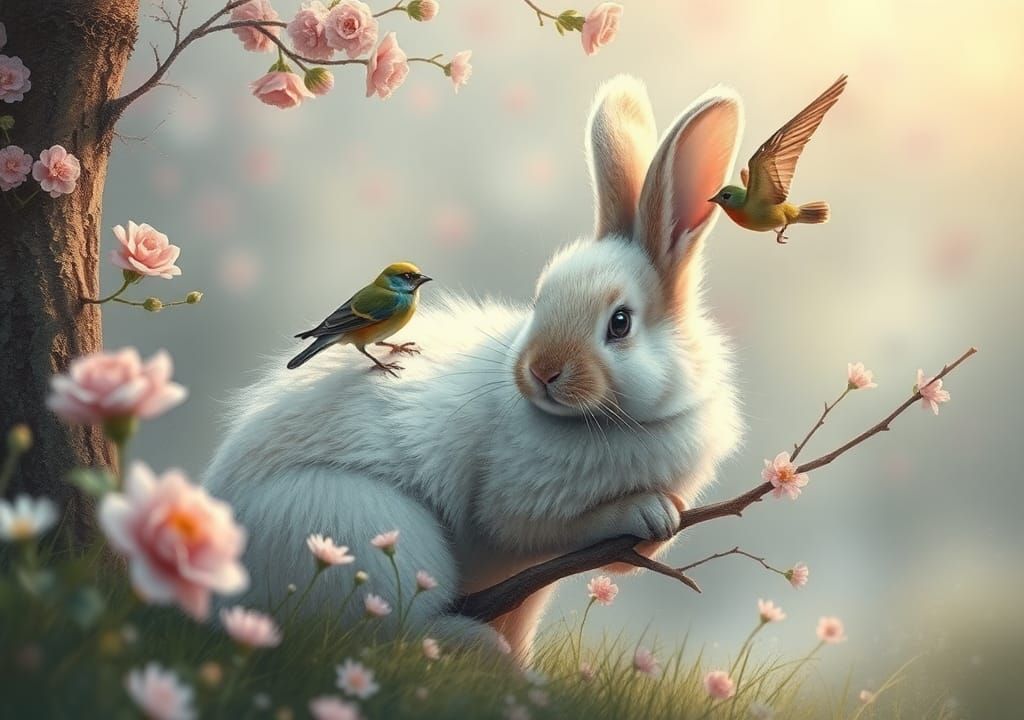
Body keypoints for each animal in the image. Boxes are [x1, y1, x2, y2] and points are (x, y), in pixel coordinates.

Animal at [203, 74, 744, 665]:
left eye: (619, 324)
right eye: (539, 301)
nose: (542, 372)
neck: (608, 422)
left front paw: (666, 518)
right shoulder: (519, 511)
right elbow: (544, 528)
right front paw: (647, 513)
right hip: (361, 528)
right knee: (382, 630)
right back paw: (482, 650)